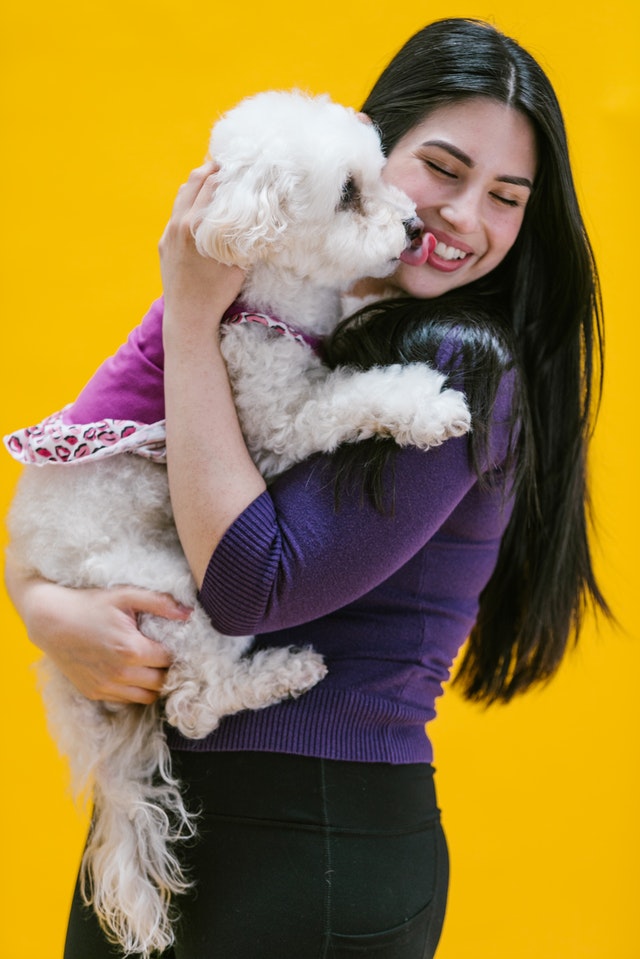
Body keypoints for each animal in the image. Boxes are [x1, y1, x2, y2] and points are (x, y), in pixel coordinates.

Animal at [5, 92, 470, 959]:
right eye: (347, 194)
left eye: (383, 172)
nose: (412, 229)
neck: (268, 285)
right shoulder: (272, 420)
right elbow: (349, 396)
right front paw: (430, 405)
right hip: (174, 588)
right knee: (194, 699)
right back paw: (285, 672)